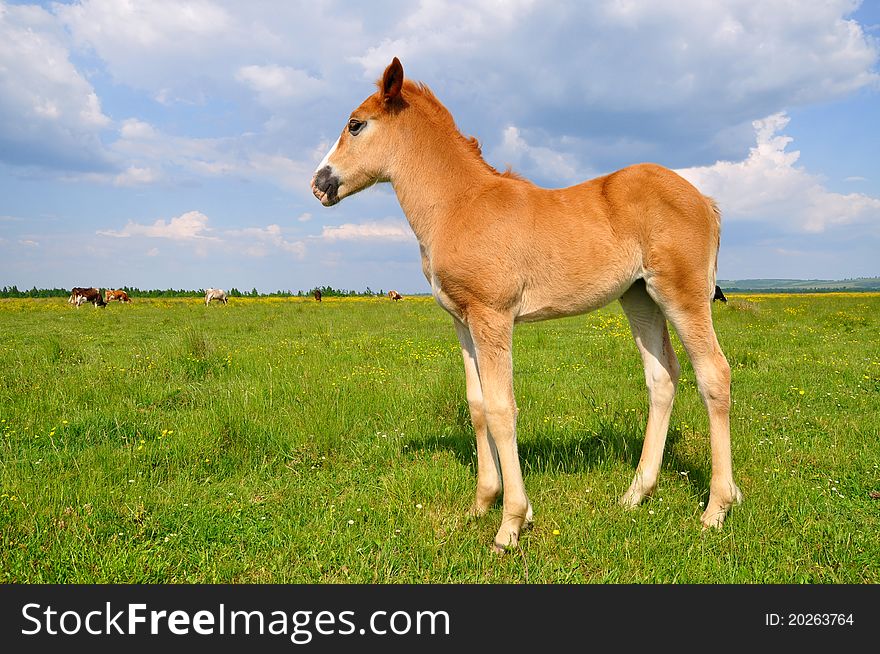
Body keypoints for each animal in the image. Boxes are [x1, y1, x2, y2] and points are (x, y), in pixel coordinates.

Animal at [312, 56, 740, 552]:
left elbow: (502, 409)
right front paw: (482, 503)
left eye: (355, 124)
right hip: (639, 297)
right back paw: (636, 494)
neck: (459, 204)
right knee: (662, 377)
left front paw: (511, 523)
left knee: (713, 373)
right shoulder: (462, 321)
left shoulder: (493, 316)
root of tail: (705, 200)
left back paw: (717, 508)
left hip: (682, 294)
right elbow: (477, 405)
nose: (319, 184)